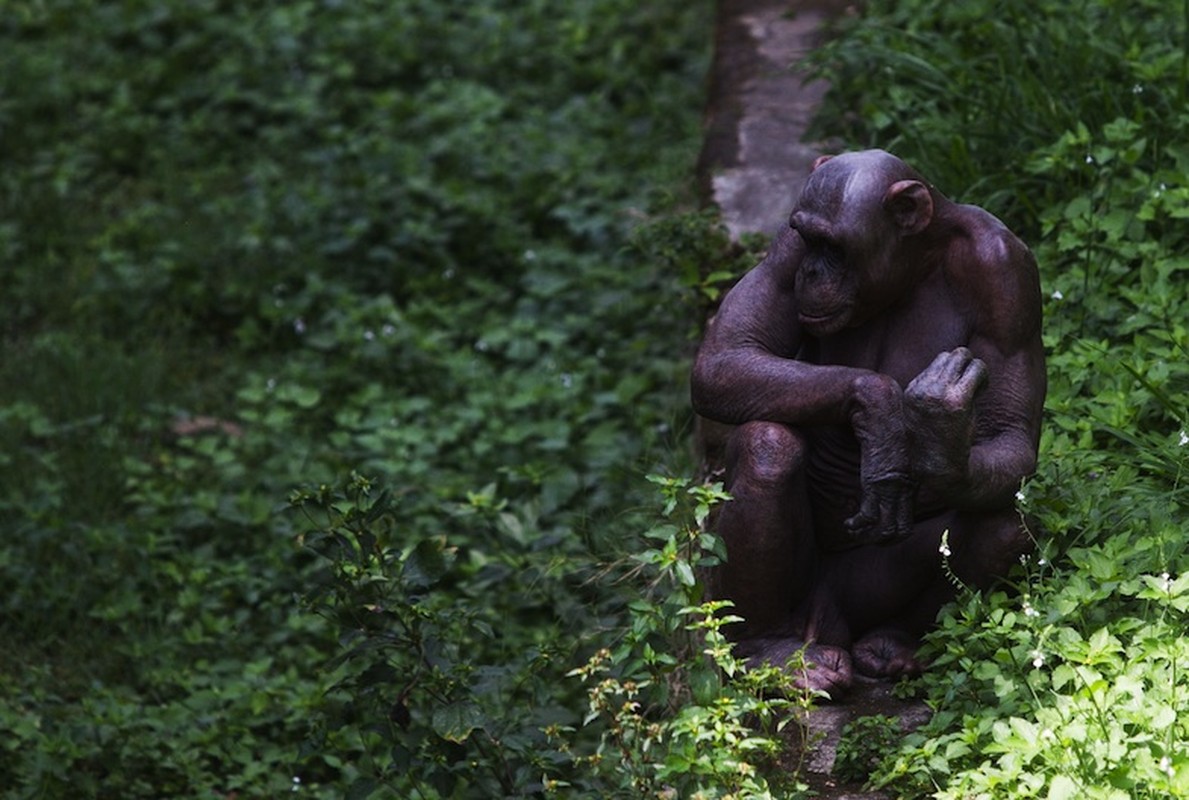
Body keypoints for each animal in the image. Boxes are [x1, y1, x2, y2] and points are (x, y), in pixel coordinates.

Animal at [694, 147, 1046, 694]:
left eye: (834, 247)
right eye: (809, 239)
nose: (812, 272)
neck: (918, 262)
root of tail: (822, 625)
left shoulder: (1008, 276)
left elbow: (1008, 435)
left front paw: (939, 438)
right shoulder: (783, 251)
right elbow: (727, 355)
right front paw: (881, 409)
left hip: (852, 600)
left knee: (1005, 523)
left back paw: (892, 645)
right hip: (805, 606)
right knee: (767, 445)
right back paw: (771, 650)